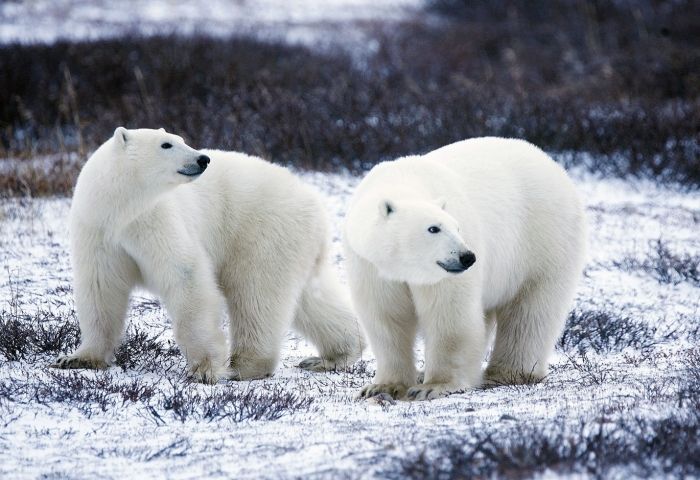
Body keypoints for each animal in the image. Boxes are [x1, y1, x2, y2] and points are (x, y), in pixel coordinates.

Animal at [52, 127, 365, 383]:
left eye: (181, 139)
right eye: (167, 144)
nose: (203, 159)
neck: (121, 208)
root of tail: (315, 202)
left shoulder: (156, 220)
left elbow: (185, 276)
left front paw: (204, 369)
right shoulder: (98, 230)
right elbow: (100, 288)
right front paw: (77, 358)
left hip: (263, 230)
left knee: (256, 293)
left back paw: (244, 366)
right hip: (295, 242)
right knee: (311, 298)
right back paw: (333, 355)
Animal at [343, 137, 586, 401]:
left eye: (457, 227)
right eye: (433, 228)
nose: (467, 257)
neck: (403, 180)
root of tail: (553, 164)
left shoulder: (443, 274)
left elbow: (449, 315)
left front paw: (433, 386)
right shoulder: (371, 265)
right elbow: (386, 317)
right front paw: (382, 387)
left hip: (543, 239)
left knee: (531, 310)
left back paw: (507, 373)